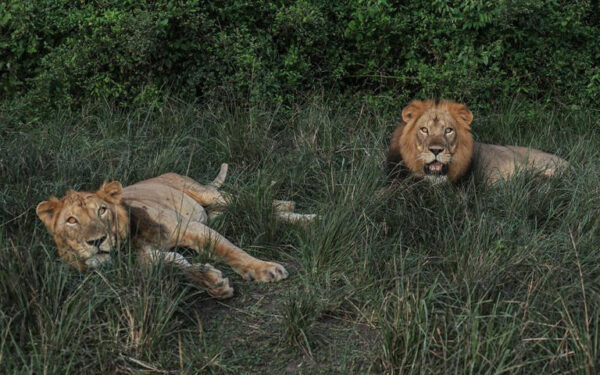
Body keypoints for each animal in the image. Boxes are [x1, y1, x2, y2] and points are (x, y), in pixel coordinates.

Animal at [35, 164, 316, 300]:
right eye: (72, 220)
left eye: (102, 210)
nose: (97, 241)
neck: (130, 245)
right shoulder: (152, 260)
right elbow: (178, 267)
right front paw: (212, 281)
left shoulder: (193, 228)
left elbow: (231, 251)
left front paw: (264, 269)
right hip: (215, 212)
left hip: (207, 194)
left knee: (249, 202)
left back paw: (305, 215)